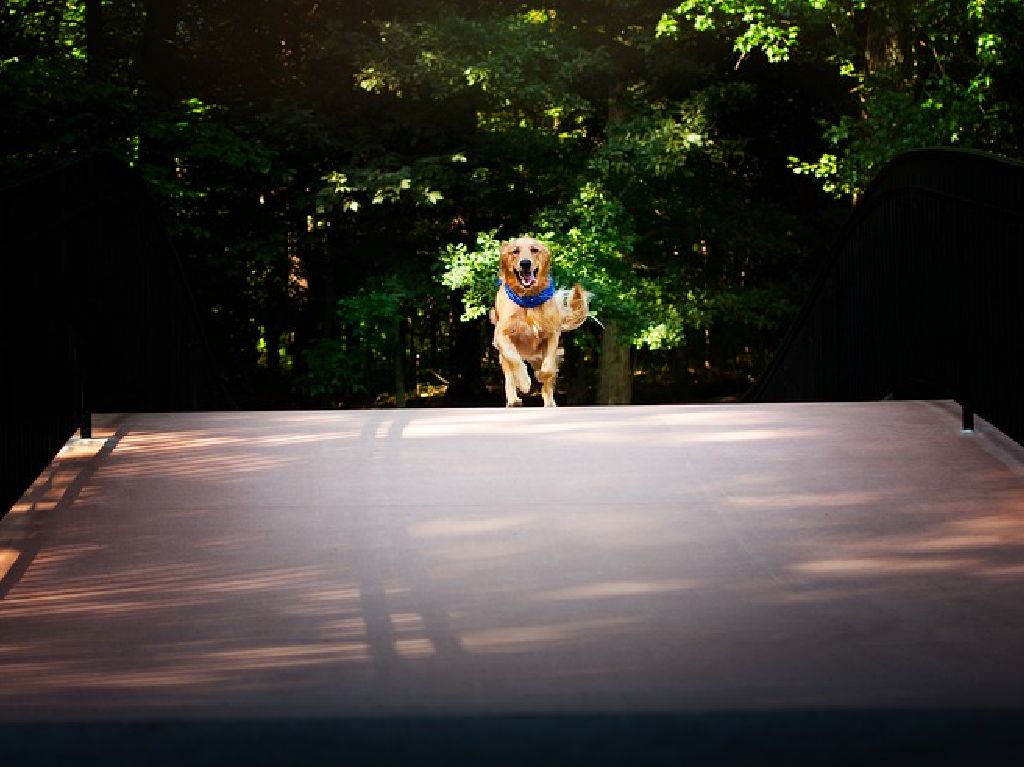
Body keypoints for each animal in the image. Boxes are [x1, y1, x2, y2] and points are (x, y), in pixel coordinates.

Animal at [489, 237, 589, 407]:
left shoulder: (552, 335)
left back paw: (549, 402)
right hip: (503, 358)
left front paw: (541, 376)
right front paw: (524, 382)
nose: (525, 263)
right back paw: (514, 399)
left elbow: (548, 369)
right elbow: (515, 358)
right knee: (510, 376)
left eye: (535, 250)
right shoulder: (500, 335)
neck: (528, 299)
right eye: (515, 251)